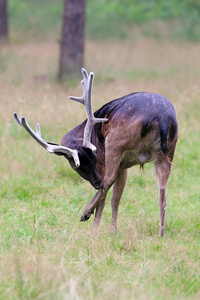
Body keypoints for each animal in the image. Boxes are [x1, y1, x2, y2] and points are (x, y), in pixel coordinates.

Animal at [14, 68, 178, 237]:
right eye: (78, 166)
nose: (97, 183)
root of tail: (163, 117)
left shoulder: (105, 160)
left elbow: (106, 197)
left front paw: (94, 230)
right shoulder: (124, 166)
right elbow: (115, 198)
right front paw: (113, 231)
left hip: (115, 143)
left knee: (109, 180)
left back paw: (85, 212)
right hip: (168, 151)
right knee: (162, 192)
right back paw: (161, 234)